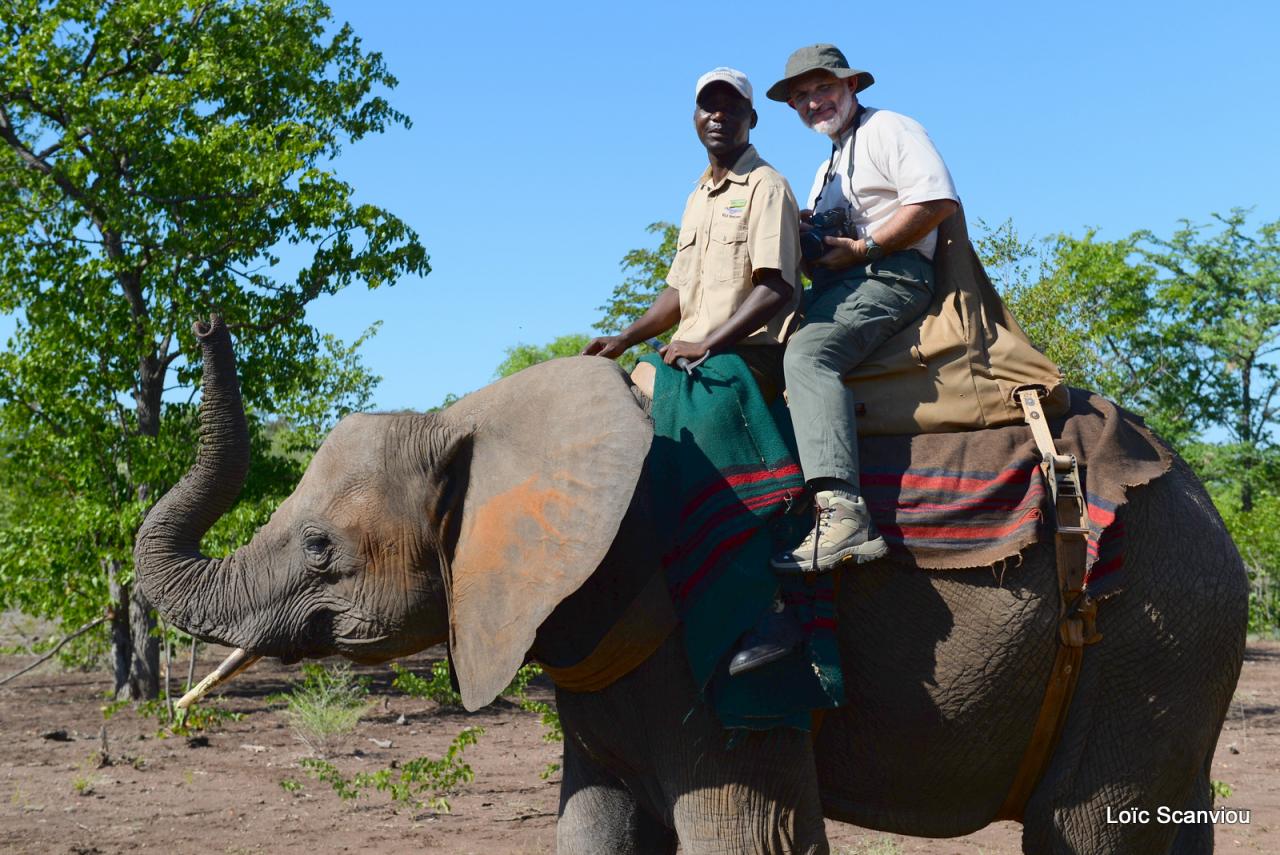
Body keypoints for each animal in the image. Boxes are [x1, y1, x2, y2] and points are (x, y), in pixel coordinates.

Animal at [135, 319, 1244, 855]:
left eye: (321, 546)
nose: (208, 316)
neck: (474, 413)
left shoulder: (721, 652)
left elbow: (745, 834)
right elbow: (594, 826)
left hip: (1150, 635)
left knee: (1083, 829)